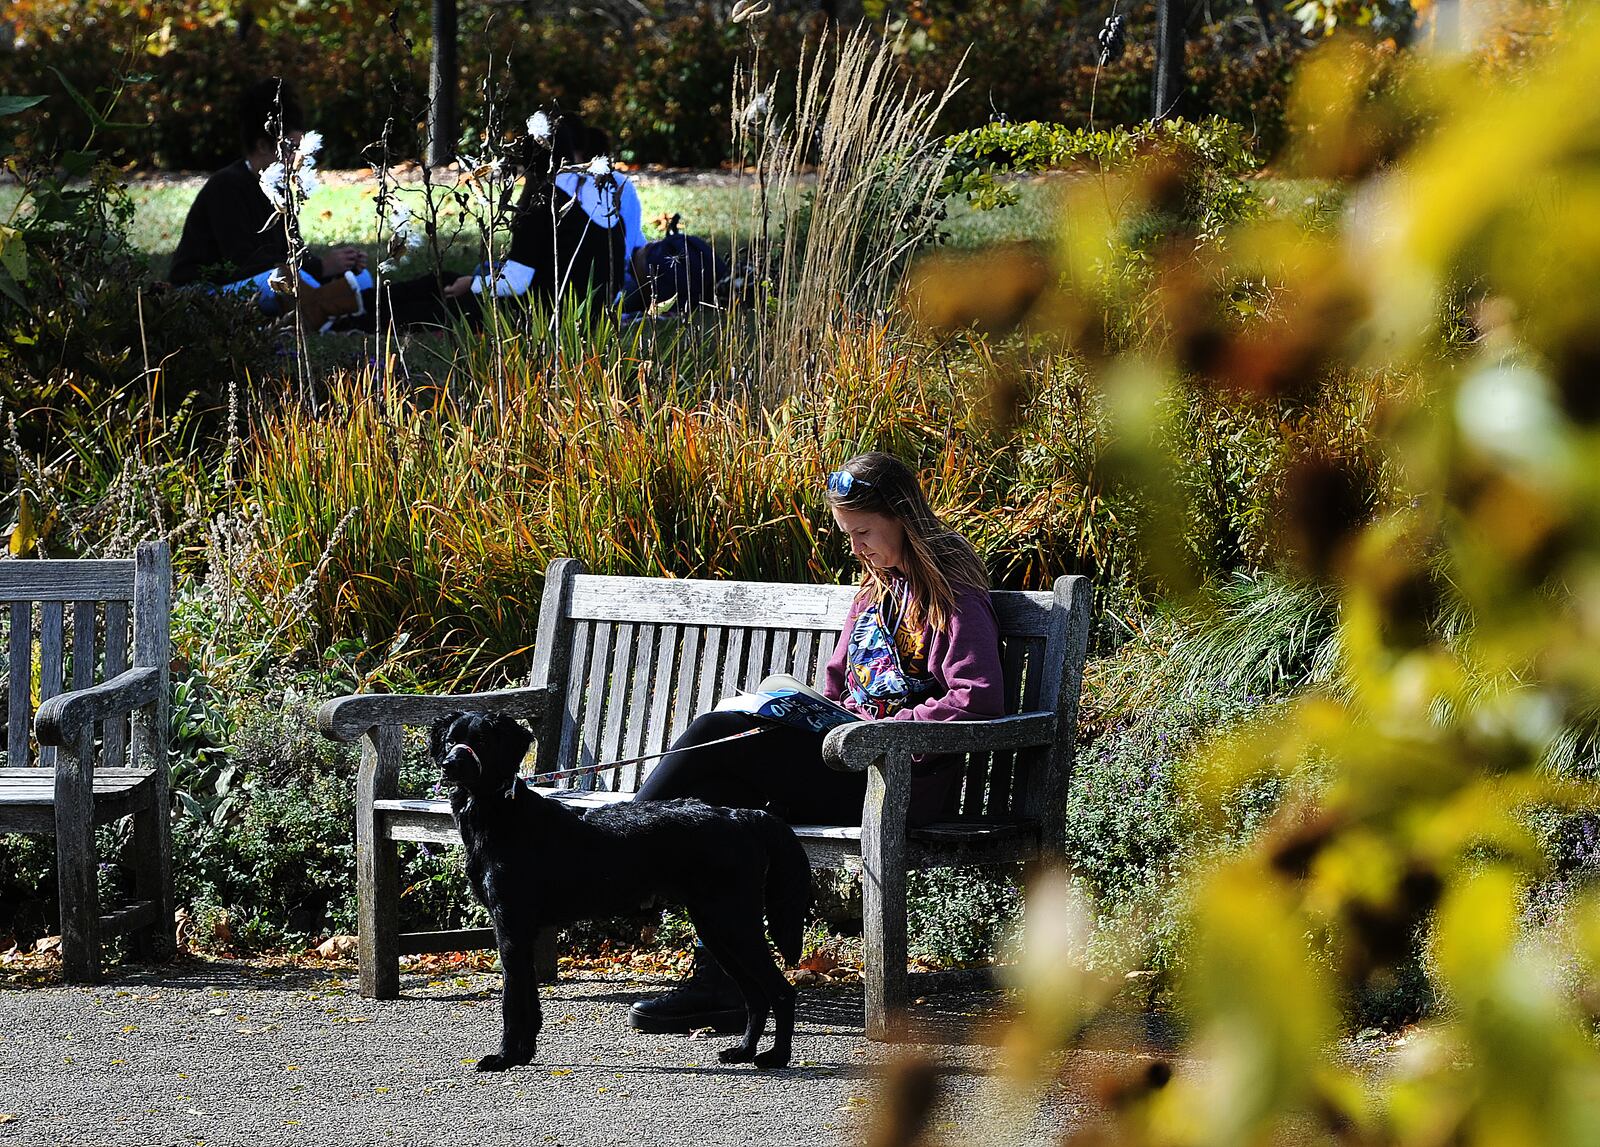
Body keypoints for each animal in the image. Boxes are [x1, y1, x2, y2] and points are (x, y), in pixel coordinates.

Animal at [432, 710, 812, 1068]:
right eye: (451, 740)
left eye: (482, 740)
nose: (449, 764)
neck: (501, 814)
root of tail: (742, 815)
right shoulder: (523, 932)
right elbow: (529, 998)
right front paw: (523, 1053)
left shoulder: (510, 926)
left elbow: (512, 1001)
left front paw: (504, 1057)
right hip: (716, 927)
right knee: (756, 995)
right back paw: (743, 1051)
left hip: (733, 922)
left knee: (781, 991)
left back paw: (777, 1056)